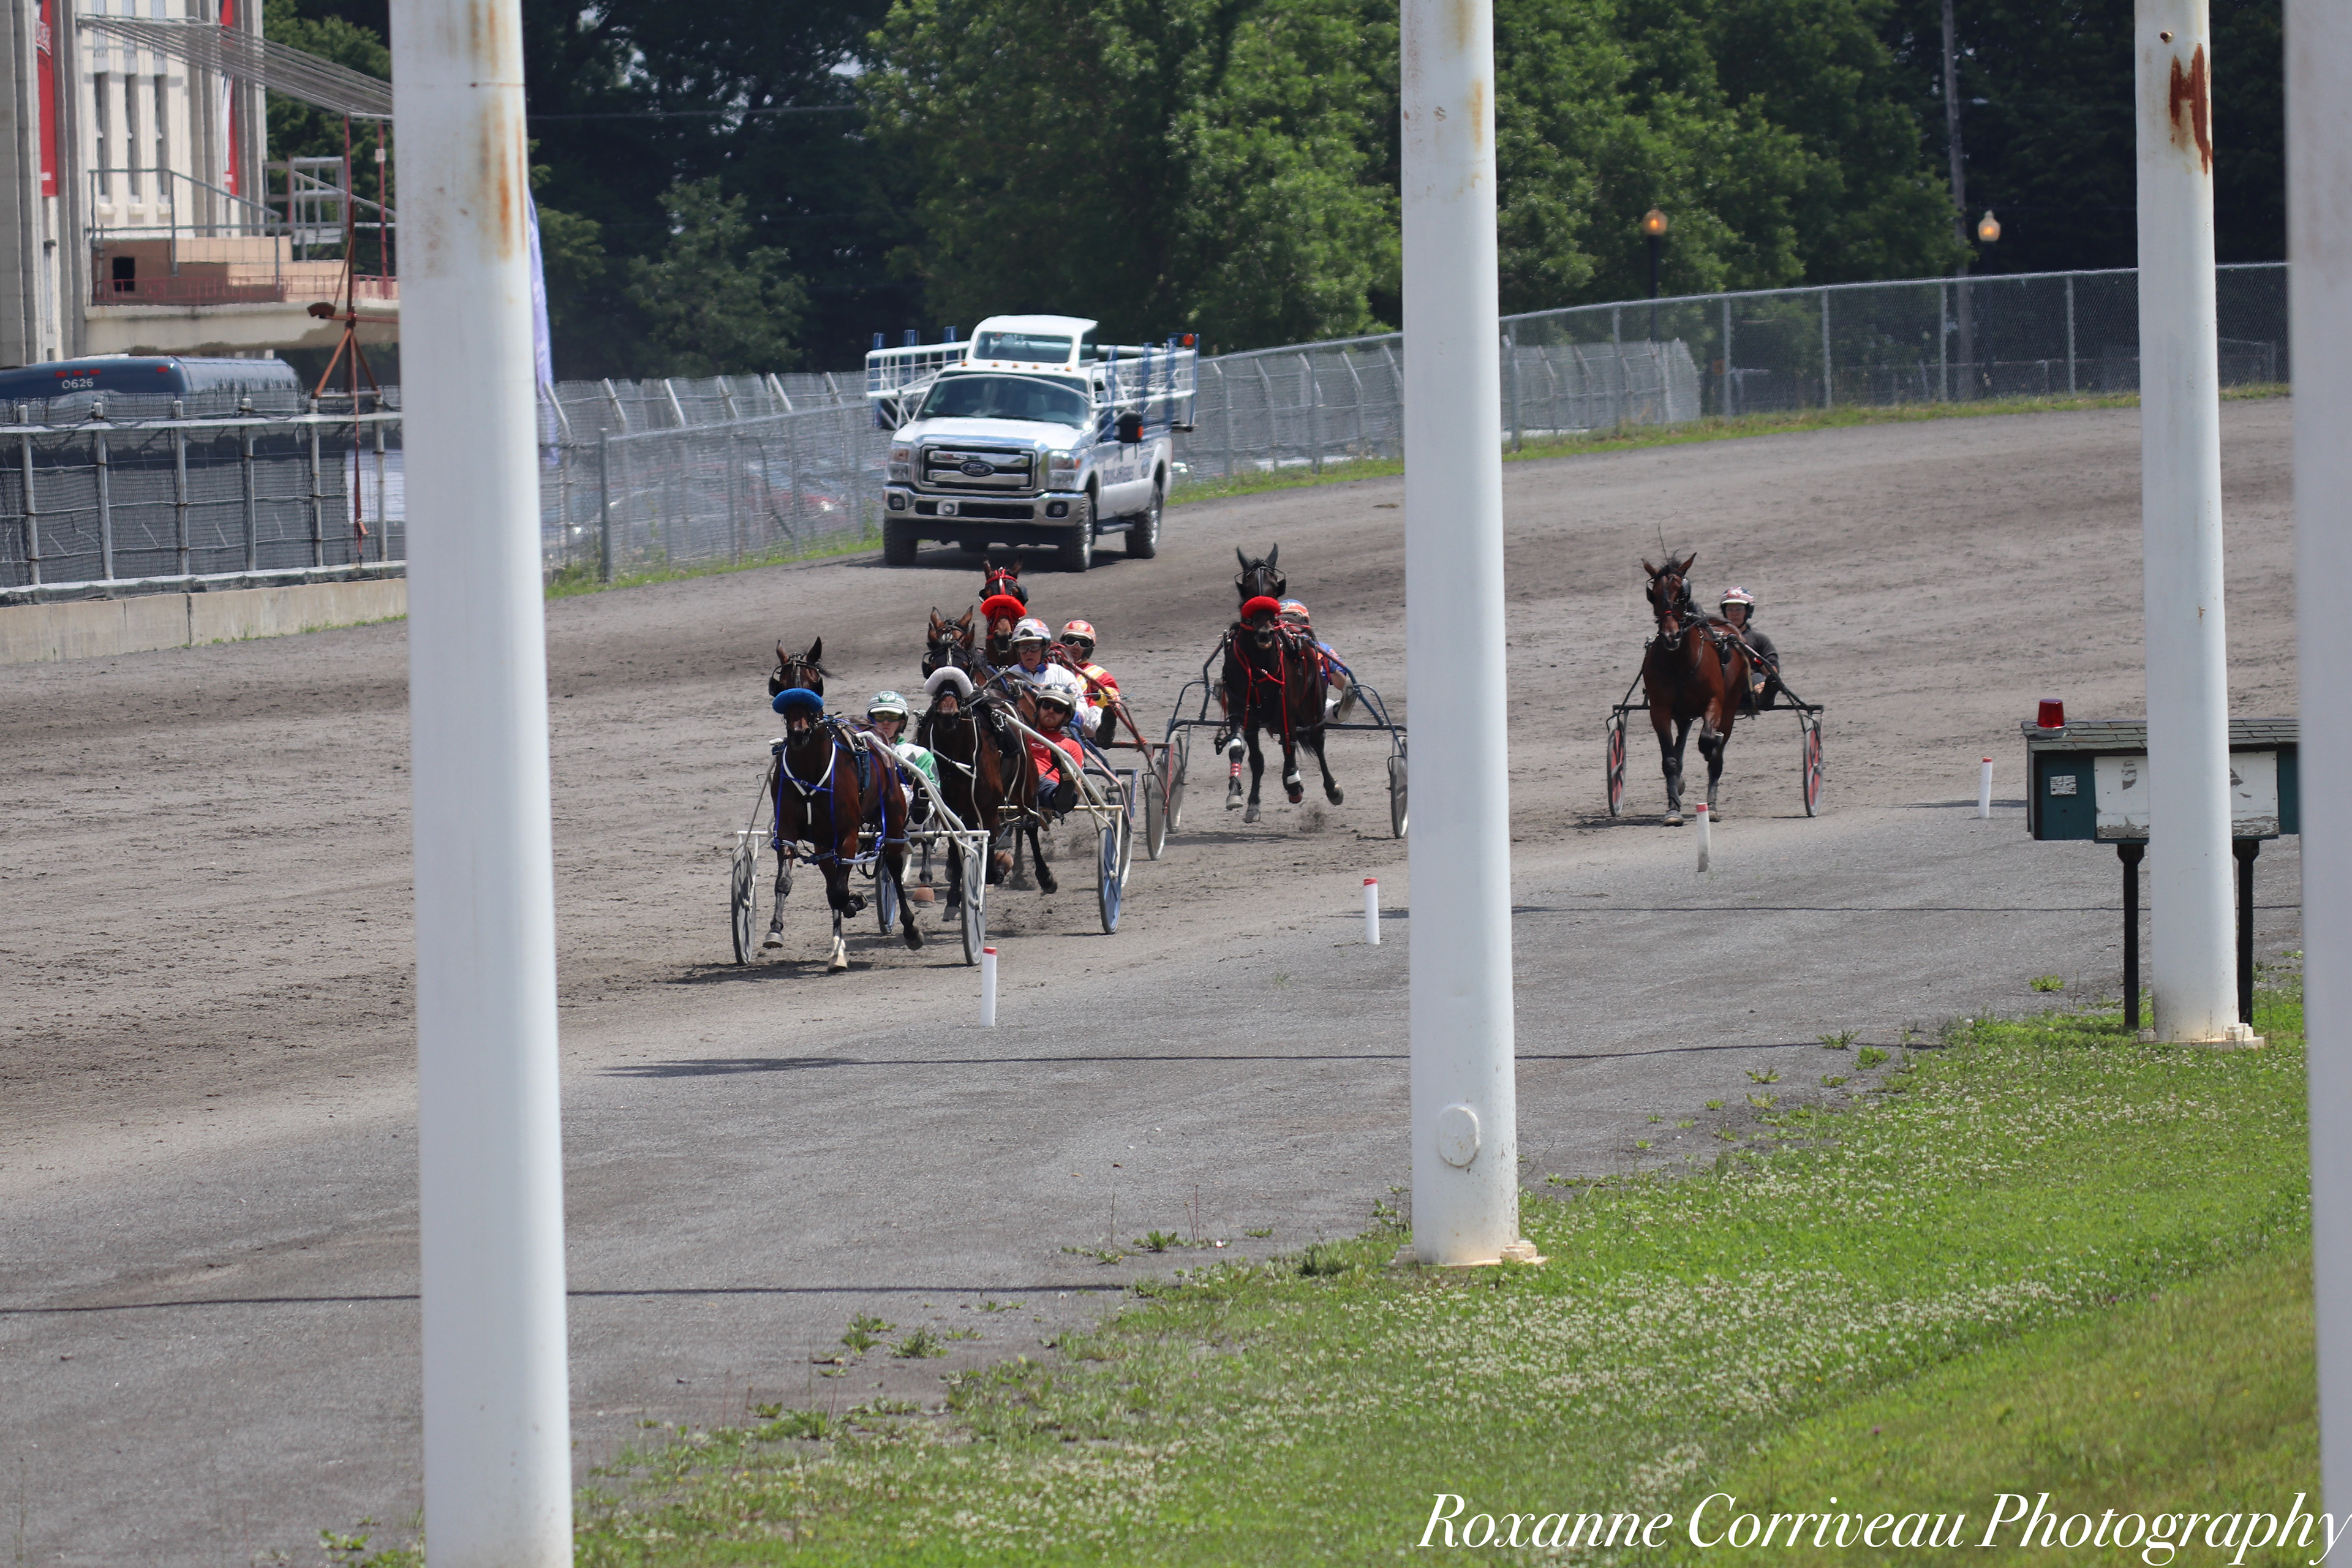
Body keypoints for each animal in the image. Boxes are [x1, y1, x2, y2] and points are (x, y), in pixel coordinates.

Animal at [764, 692, 925, 970]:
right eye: (780, 688)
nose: (799, 734)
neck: (809, 768)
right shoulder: (788, 830)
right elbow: (787, 882)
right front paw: (775, 929)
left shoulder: (847, 834)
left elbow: (839, 892)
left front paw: (855, 901)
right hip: (824, 841)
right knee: (833, 877)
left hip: (893, 818)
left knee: (893, 865)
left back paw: (910, 929)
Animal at [1640, 553, 1749, 826]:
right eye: (1653, 594)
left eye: (1682, 593)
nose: (1671, 636)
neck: (1680, 662)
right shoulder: (1660, 710)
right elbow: (1670, 760)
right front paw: (1673, 809)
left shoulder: (1714, 703)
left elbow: (1708, 743)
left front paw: (1712, 746)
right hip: (1682, 713)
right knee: (1680, 743)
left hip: (1730, 706)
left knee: (1716, 751)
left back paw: (1712, 804)